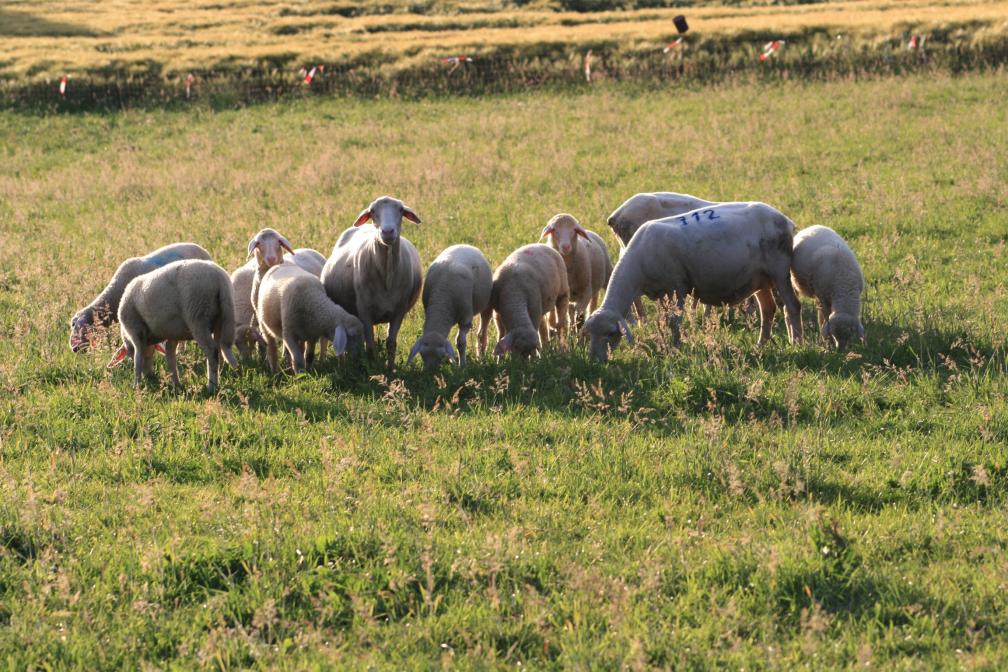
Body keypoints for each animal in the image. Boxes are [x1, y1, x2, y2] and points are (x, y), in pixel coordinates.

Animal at [107, 259, 238, 394]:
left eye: (129, 355)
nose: (149, 376)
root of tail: (219, 279)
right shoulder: (172, 335)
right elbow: (170, 359)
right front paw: (176, 385)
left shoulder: (135, 330)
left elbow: (138, 359)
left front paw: (136, 385)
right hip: (224, 316)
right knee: (220, 346)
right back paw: (220, 374)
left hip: (198, 317)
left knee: (212, 350)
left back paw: (211, 386)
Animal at [318, 197, 421, 370]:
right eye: (372, 211)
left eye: (401, 210)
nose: (387, 232)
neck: (387, 274)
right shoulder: (364, 310)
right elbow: (371, 345)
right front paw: (373, 369)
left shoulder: (399, 311)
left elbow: (391, 343)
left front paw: (390, 369)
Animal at [584, 201, 802, 362]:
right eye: (589, 335)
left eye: (610, 333)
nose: (596, 361)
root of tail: (785, 220)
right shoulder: (662, 291)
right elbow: (664, 319)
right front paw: (665, 343)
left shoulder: (676, 286)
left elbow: (675, 320)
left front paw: (676, 347)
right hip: (759, 277)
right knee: (768, 309)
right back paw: (760, 344)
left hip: (779, 269)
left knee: (792, 305)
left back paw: (798, 343)